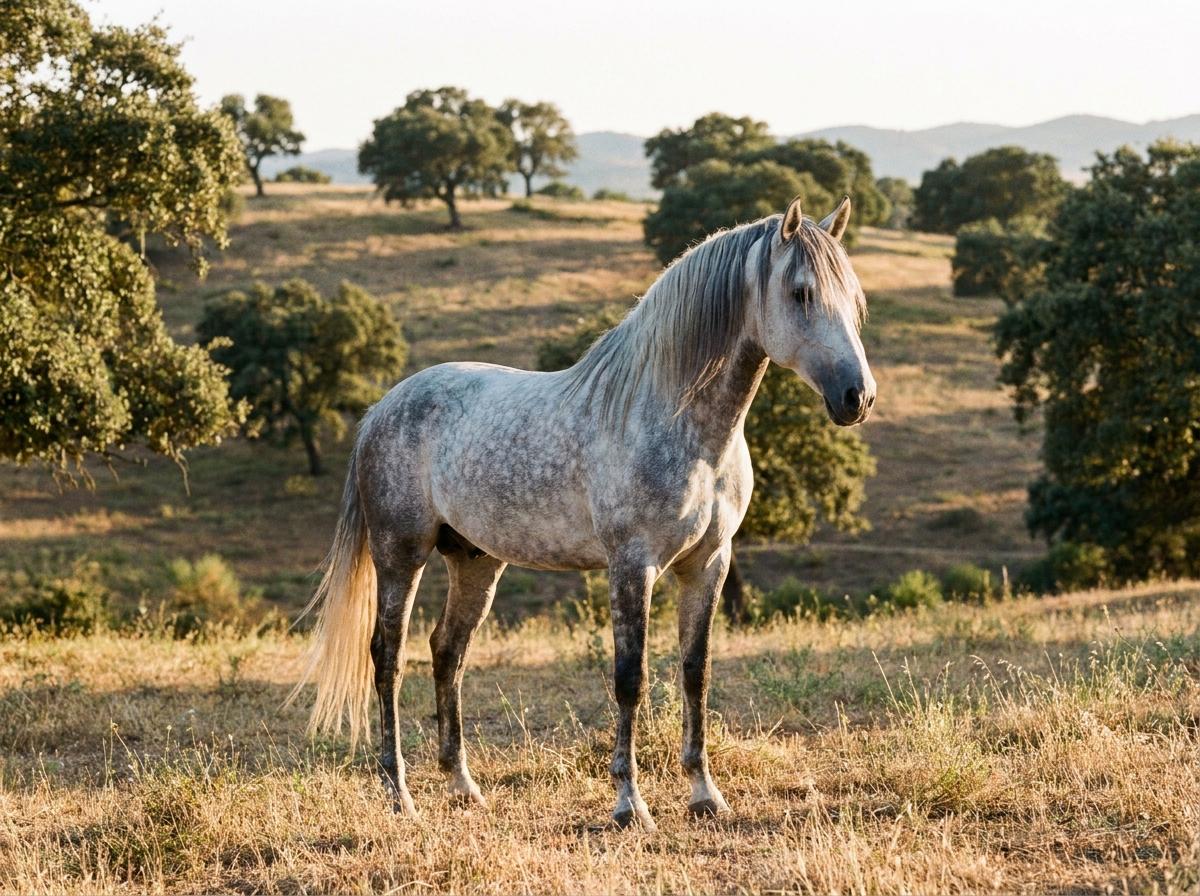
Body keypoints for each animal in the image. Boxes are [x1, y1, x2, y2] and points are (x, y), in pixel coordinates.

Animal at [292, 195, 875, 831]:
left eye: (855, 299)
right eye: (800, 293)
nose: (858, 397)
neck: (678, 423)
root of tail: (382, 408)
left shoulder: (709, 564)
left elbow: (696, 673)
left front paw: (704, 795)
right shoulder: (633, 565)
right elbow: (630, 679)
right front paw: (629, 804)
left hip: (475, 561)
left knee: (447, 652)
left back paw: (463, 786)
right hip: (401, 555)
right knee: (388, 658)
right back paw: (400, 794)